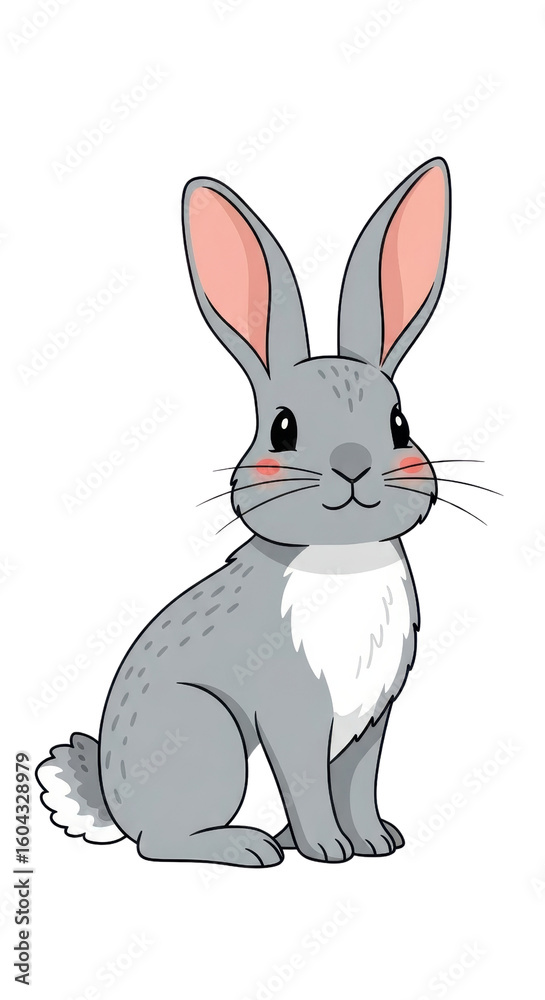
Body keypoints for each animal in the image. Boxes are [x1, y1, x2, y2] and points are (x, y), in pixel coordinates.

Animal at [37, 156, 451, 866]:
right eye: (282, 428)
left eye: (399, 424)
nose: (353, 464)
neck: (342, 560)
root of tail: (114, 806)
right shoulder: (293, 713)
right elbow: (308, 782)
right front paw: (329, 851)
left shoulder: (369, 722)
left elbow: (358, 782)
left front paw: (375, 842)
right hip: (210, 737)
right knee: (160, 843)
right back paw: (251, 847)